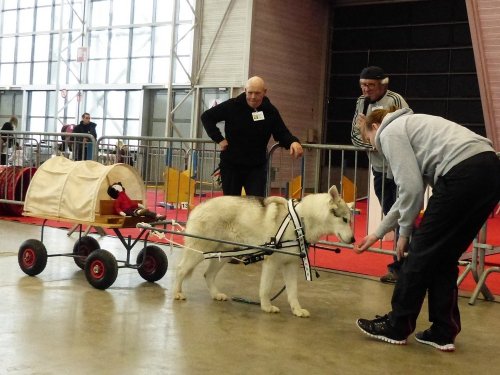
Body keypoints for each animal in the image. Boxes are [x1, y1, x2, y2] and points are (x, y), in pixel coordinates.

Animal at [174, 186, 354, 318]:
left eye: (350, 221)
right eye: (344, 219)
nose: (353, 240)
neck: (300, 221)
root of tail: (199, 206)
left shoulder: (290, 265)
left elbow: (293, 292)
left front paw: (296, 309)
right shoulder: (271, 263)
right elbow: (265, 289)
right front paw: (266, 306)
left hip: (223, 254)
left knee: (208, 275)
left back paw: (215, 294)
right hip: (198, 252)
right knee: (180, 270)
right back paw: (177, 293)